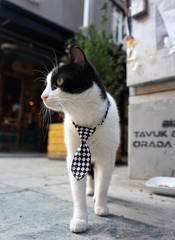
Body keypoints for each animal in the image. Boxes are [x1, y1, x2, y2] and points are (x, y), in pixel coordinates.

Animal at [41, 46, 120, 233]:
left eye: (60, 80)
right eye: (46, 84)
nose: (42, 96)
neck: (86, 121)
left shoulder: (108, 156)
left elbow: (104, 183)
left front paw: (101, 206)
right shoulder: (75, 156)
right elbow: (77, 192)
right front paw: (80, 219)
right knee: (90, 174)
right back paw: (90, 190)